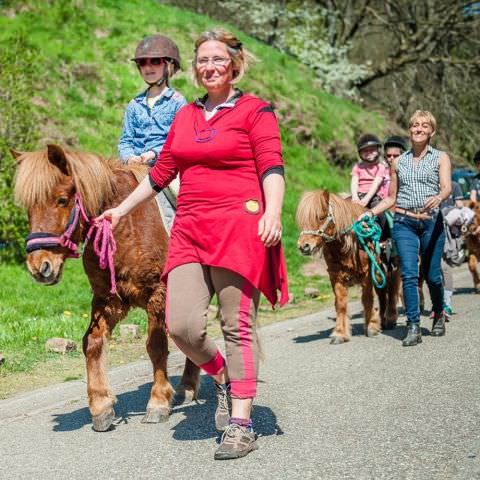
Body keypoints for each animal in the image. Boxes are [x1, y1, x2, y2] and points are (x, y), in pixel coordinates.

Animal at [11, 143, 199, 432]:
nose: (39, 267)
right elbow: (92, 342)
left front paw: (157, 403)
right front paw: (101, 406)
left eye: (62, 200)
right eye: (28, 207)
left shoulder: (158, 294)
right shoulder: (107, 299)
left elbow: (156, 345)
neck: (127, 224)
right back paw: (187, 386)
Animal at [294, 189, 400, 344]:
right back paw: (383, 319)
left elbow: (367, 299)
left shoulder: (367, 274)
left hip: (393, 267)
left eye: (321, 217)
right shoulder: (336, 276)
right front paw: (340, 333)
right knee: (382, 294)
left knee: (392, 289)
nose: (304, 246)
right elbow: (341, 304)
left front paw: (371, 327)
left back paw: (391, 319)